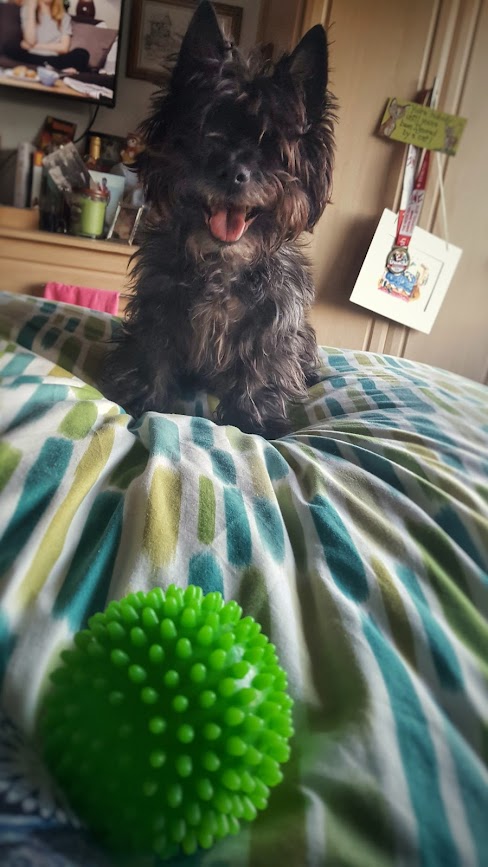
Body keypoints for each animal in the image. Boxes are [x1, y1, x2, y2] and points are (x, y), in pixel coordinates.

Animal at [105, 0, 336, 438]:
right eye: (206, 132)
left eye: (272, 146)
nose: (232, 171)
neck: (221, 262)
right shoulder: (158, 304)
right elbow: (152, 353)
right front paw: (142, 403)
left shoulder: (274, 320)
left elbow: (260, 370)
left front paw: (254, 423)